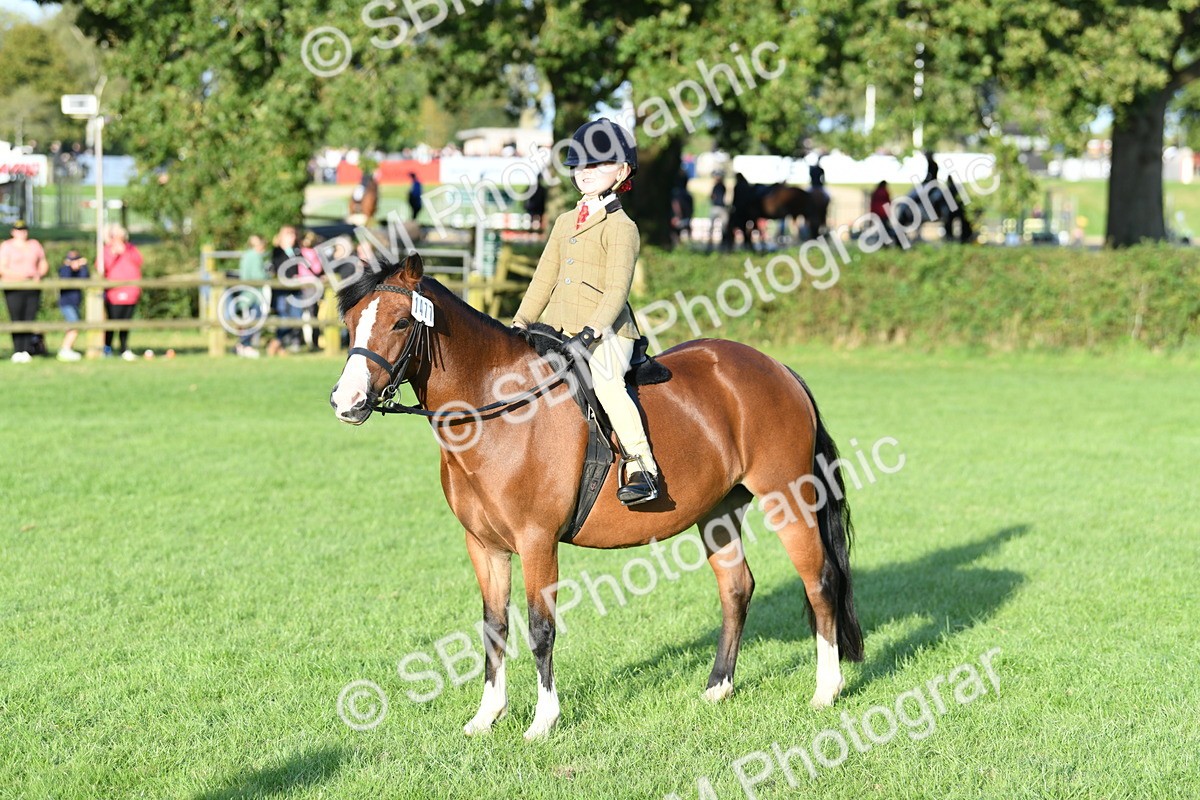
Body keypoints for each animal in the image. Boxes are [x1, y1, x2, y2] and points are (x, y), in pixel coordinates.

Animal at [329, 252, 864, 739]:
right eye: (351, 323)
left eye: (401, 321)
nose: (345, 402)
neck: (497, 410)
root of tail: (777, 367)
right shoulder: (484, 545)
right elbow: (493, 627)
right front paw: (487, 716)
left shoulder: (536, 542)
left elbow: (540, 628)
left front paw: (543, 721)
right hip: (717, 512)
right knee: (736, 587)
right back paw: (718, 687)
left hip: (787, 498)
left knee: (819, 582)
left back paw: (826, 689)